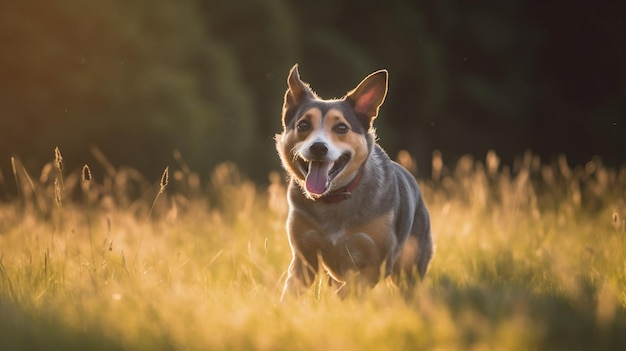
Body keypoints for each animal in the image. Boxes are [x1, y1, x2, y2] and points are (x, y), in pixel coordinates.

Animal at [276, 64, 432, 300]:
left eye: (341, 128)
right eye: (303, 125)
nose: (318, 147)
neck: (334, 198)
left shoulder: (377, 262)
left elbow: (352, 289)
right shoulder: (304, 255)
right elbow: (292, 289)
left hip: (411, 265)